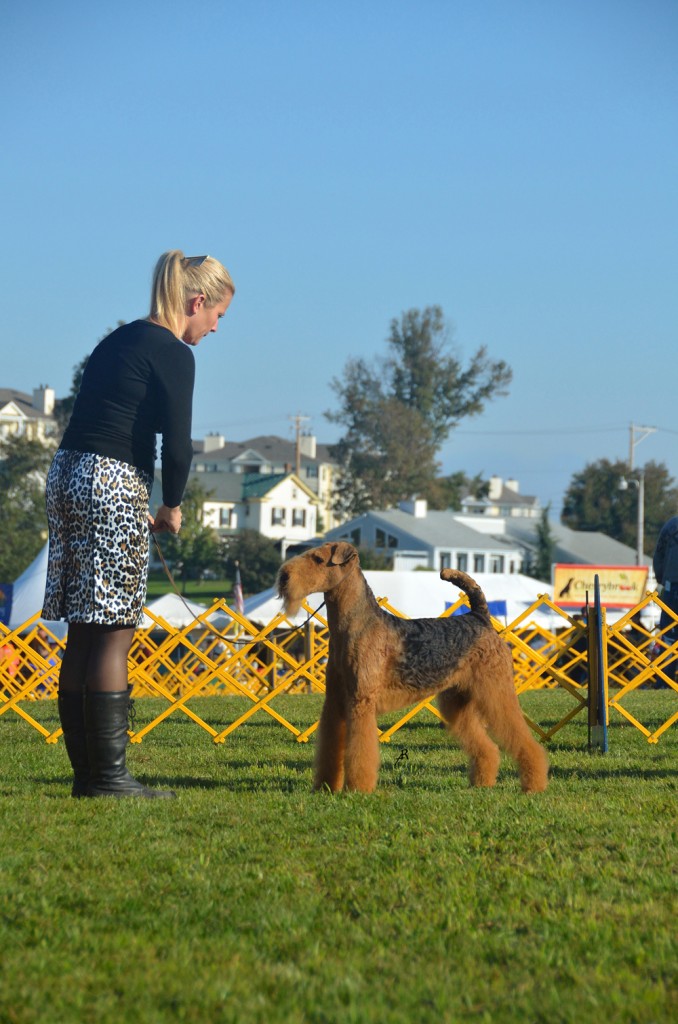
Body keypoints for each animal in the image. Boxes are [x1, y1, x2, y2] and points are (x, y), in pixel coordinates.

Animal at [277, 541, 548, 794]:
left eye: (318, 559)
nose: (283, 577)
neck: (355, 624)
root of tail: (480, 617)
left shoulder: (360, 701)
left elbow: (359, 752)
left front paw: (357, 790)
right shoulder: (335, 701)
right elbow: (330, 748)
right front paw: (324, 787)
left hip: (496, 691)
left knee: (525, 740)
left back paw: (534, 785)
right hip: (456, 702)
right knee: (488, 747)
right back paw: (482, 783)